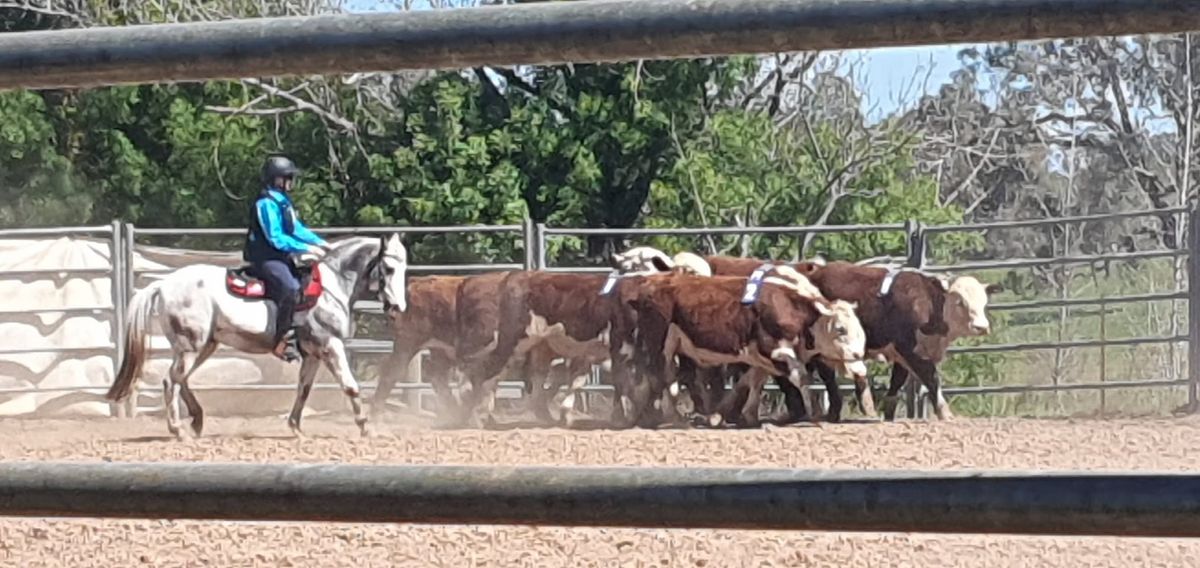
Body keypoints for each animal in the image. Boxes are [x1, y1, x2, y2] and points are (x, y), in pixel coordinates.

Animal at [102, 234, 408, 439]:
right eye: (389, 268)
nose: (398, 308)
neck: (329, 287)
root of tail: (163, 284)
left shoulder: (312, 353)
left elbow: (304, 388)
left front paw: (296, 427)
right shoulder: (330, 345)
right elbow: (351, 386)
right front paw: (366, 427)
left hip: (202, 346)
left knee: (181, 379)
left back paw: (197, 421)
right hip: (191, 346)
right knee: (171, 381)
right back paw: (178, 430)